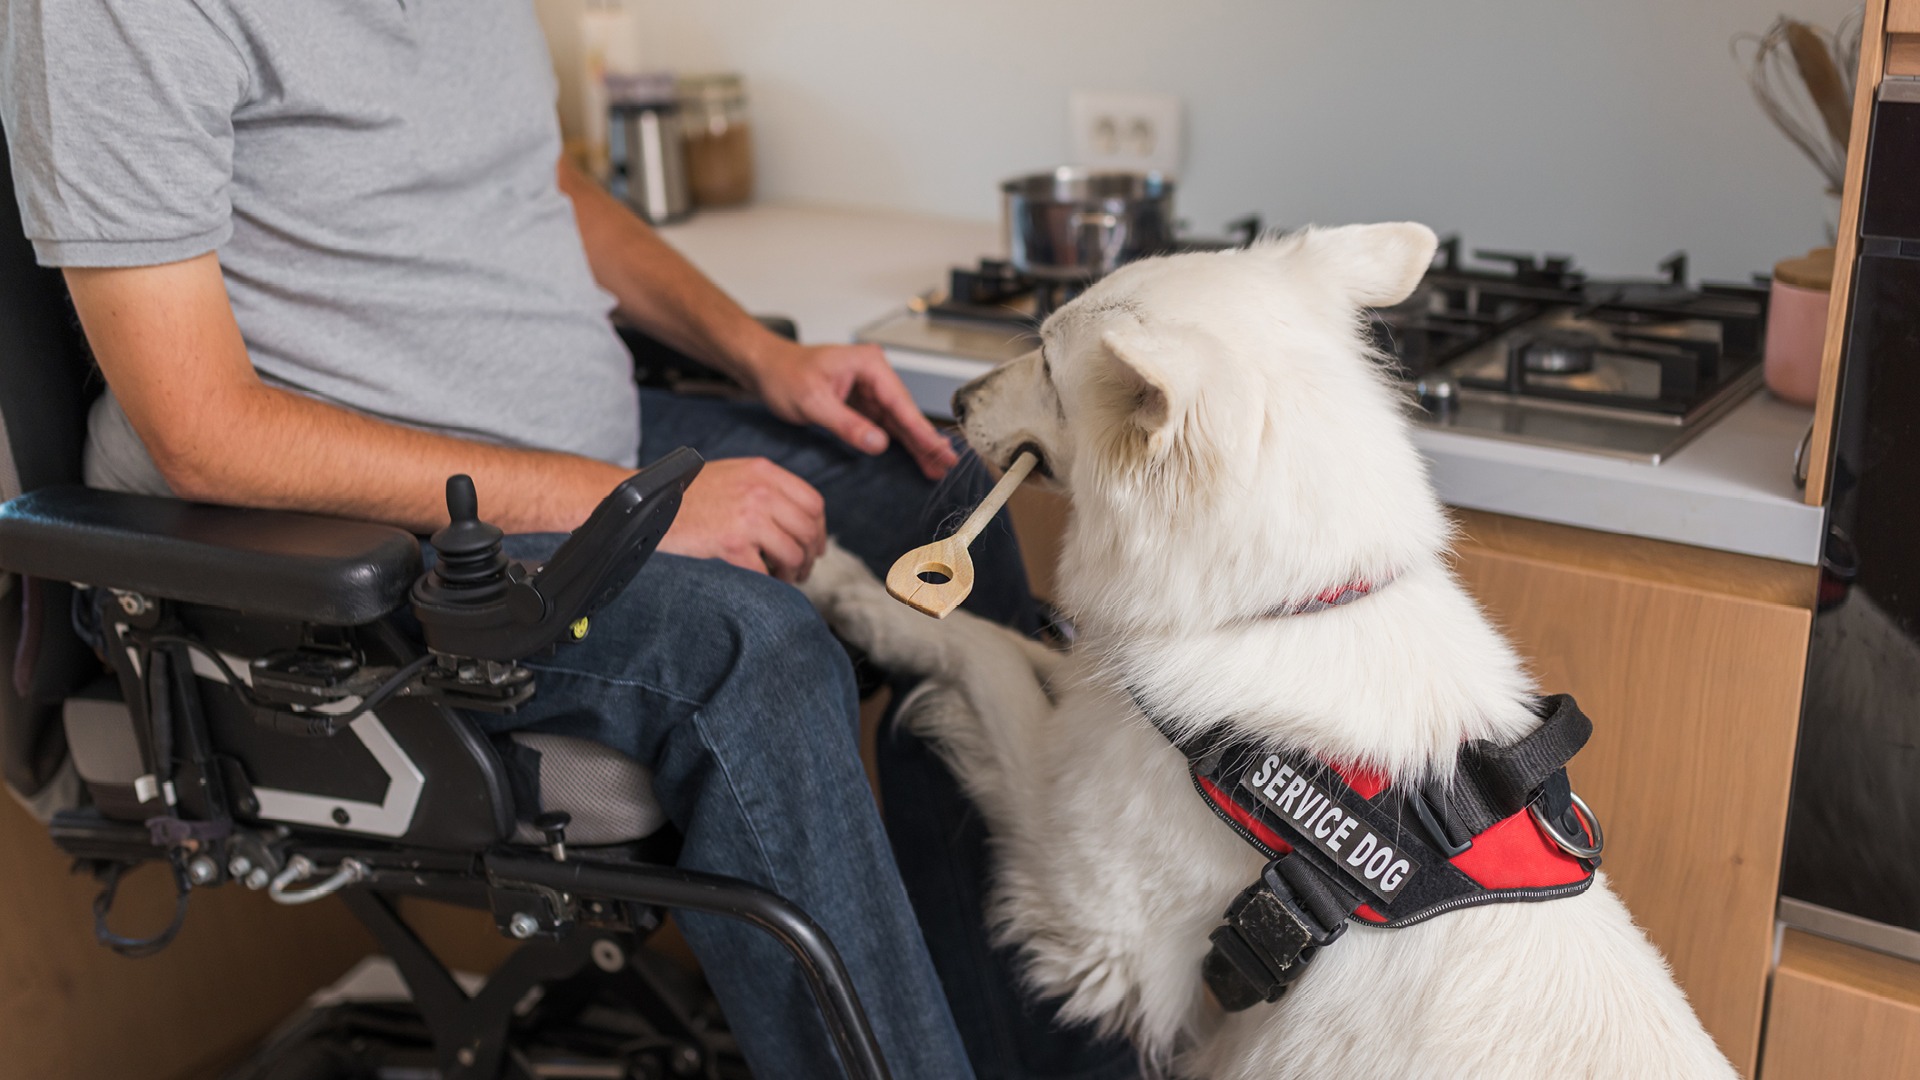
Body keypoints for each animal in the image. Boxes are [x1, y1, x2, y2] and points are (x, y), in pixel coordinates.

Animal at [802, 222, 1735, 1068]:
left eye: (1043, 360)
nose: (954, 403)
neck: (1293, 608)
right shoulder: (1095, 717)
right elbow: (1021, 651)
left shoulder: (1093, 915)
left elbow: (980, 651)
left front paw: (850, 589)